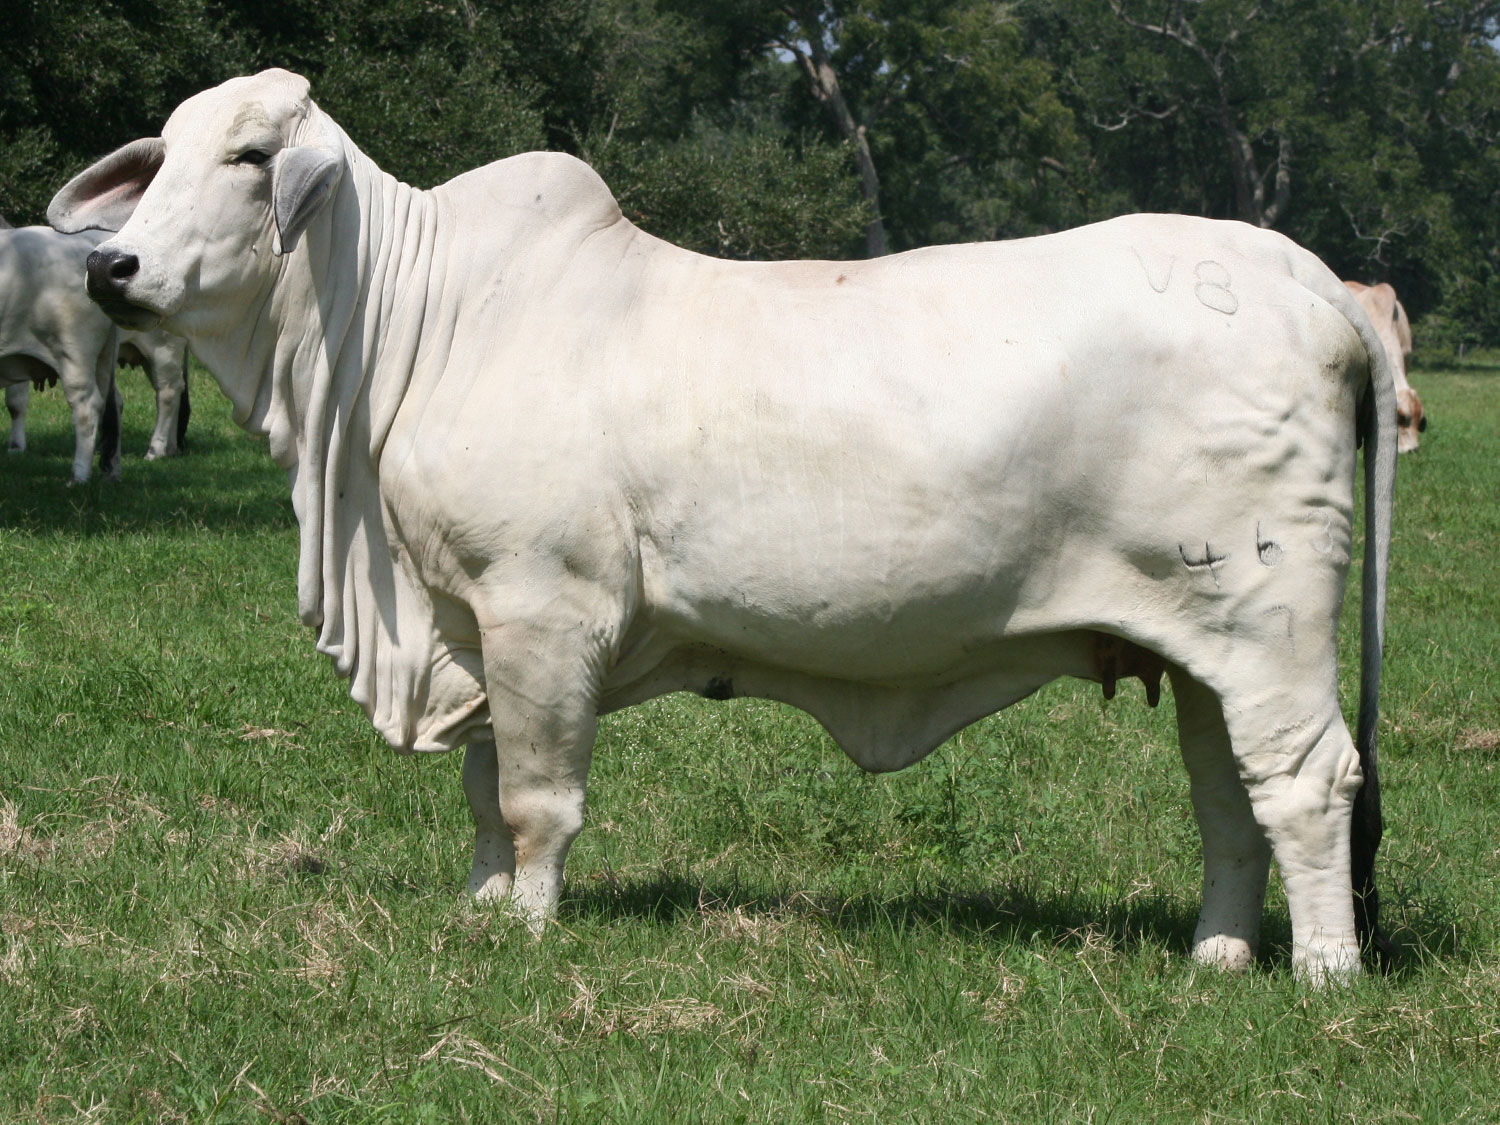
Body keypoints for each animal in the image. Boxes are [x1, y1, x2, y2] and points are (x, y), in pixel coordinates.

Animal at [49, 72, 1404, 984]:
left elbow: (536, 797)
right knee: (1228, 797)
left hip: (1270, 619)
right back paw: (1218, 957)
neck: (411, 323)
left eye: (249, 156)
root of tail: (1306, 276)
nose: (112, 269)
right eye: (159, 157)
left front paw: (528, 927)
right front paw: (480, 909)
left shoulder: (541, 607)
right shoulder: (471, 621)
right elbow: (486, 790)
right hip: (1201, 640)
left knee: (1307, 783)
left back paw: (1323, 975)